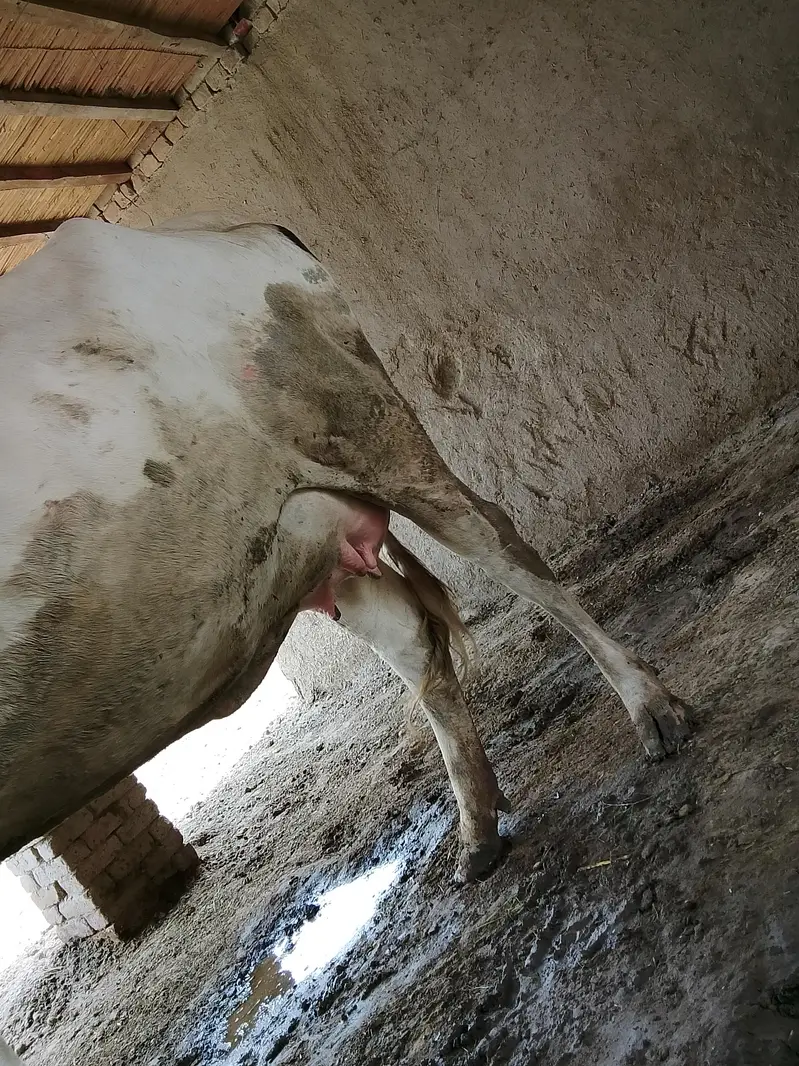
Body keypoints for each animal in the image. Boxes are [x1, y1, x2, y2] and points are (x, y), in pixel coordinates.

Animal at [0, 212, 692, 900]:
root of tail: (241, 228)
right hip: (315, 540)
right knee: (416, 643)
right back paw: (477, 834)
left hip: (373, 436)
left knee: (503, 546)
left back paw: (652, 709)